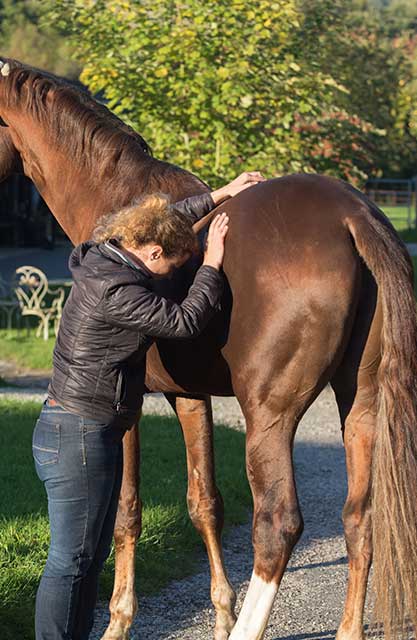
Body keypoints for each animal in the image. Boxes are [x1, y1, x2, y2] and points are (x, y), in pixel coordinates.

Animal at [1, 57, 417, 640]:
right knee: (360, 518)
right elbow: (205, 503)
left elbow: (126, 512)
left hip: (269, 414)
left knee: (278, 523)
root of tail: (352, 215)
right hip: (361, 401)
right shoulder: (188, 396)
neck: (116, 198)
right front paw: (220, 612)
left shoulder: (129, 406)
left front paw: (120, 621)